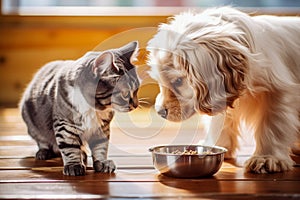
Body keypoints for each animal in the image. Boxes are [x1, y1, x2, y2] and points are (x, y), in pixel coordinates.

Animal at [19, 41, 139, 175]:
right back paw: (44, 152)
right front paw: (73, 165)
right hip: (31, 122)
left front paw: (102, 162)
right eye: (125, 94)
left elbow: (101, 146)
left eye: (136, 90)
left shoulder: (102, 127)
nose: (136, 105)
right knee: (42, 141)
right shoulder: (65, 124)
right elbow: (69, 147)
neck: (94, 108)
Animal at [146, 7, 298, 173]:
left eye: (178, 81)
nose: (160, 112)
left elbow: (272, 126)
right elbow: (218, 123)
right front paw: (214, 145)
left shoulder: (278, 94)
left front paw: (267, 158)